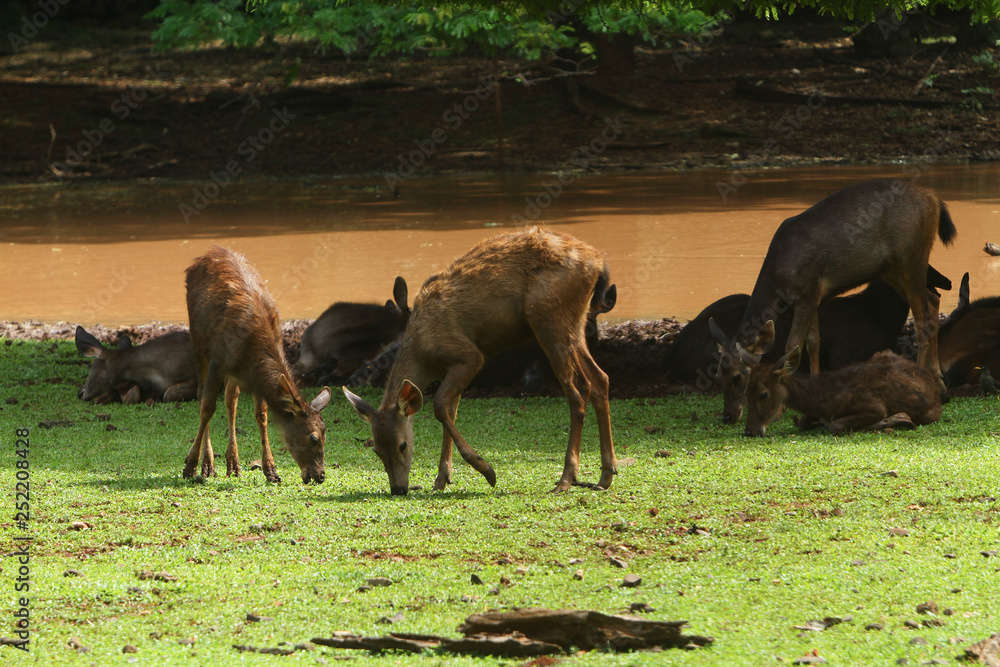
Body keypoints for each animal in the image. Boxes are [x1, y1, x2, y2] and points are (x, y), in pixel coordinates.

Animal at [184, 246, 332, 484]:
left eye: (326, 434)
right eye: (313, 438)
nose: (320, 475)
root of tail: (210, 252)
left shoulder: (250, 376)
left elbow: (261, 414)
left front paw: (271, 470)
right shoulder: (217, 361)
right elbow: (207, 408)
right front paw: (190, 466)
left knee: (231, 399)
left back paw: (233, 464)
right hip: (197, 341)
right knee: (200, 395)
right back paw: (208, 466)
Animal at [343, 226, 616, 496]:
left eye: (402, 445)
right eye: (375, 449)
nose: (398, 488)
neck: (424, 353)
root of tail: (599, 263)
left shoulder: (469, 356)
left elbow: (440, 406)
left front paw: (486, 471)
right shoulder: (452, 368)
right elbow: (450, 411)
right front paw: (442, 479)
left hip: (550, 320)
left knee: (577, 392)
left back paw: (566, 479)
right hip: (575, 324)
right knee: (600, 379)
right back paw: (605, 475)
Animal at [743, 348, 943, 437]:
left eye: (763, 394)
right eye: (746, 392)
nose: (749, 431)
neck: (820, 399)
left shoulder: (873, 405)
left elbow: (835, 425)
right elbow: (804, 421)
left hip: (930, 414)